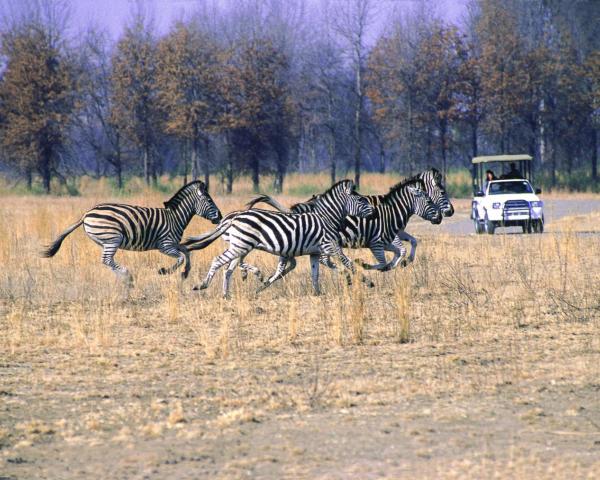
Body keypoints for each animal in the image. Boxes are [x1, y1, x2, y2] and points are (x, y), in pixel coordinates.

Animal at [41, 179, 223, 278]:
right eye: (209, 200)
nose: (220, 217)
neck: (175, 217)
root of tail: (87, 213)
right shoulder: (164, 245)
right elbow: (180, 258)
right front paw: (164, 271)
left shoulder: (173, 244)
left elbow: (187, 253)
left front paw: (185, 273)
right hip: (113, 238)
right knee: (106, 260)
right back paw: (127, 277)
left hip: (106, 241)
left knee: (108, 261)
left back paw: (123, 278)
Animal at [182, 179, 376, 296]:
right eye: (361, 201)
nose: (374, 212)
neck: (326, 218)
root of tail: (233, 218)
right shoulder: (331, 247)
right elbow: (349, 263)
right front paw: (367, 281)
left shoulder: (314, 252)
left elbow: (315, 273)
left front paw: (317, 293)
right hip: (241, 245)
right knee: (218, 261)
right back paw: (203, 285)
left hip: (240, 246)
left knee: (228, 269)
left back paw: (226, 294)